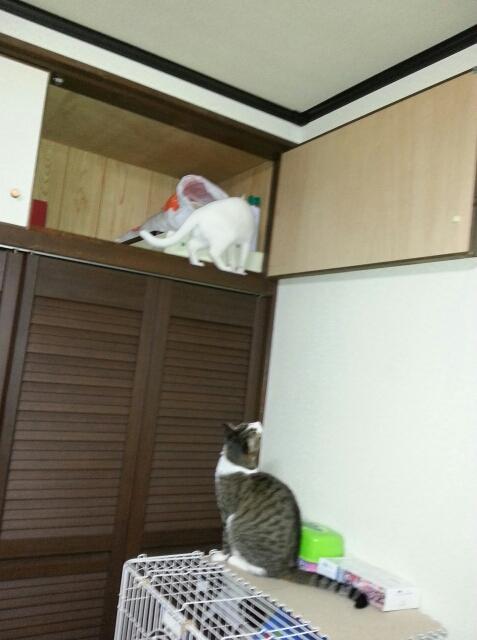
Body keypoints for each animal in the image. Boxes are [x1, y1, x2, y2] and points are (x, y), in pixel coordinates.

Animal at [214, 421, 368, 608]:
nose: (258, 422)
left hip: (237, 526)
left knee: (264, 570)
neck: (236, 463)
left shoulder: (226, 513)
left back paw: (235, 560)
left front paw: (221, 556)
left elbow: (225, 540)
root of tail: (289, 567)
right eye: (250, 428)